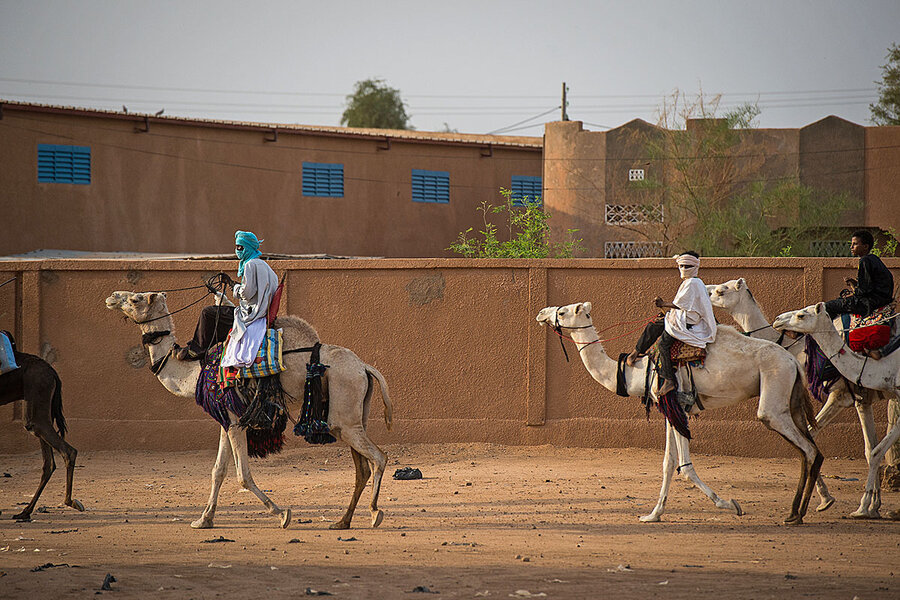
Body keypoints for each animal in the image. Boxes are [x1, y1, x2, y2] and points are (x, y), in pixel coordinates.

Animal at [0, 332, 83, 520]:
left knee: (66, 450)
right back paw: (26, 511)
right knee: (49, 462)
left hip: (37, 392)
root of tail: (53, 372)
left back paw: (69, 501)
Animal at [103, 290, 392, 528]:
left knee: (379, 457)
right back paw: (342, 521)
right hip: (351, 414)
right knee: (362, 467)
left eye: (135, 299)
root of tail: (365, 367)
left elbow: (242, 475)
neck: (193, 373)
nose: (112, 297)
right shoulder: (227, 419)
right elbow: (218, 471)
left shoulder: (235, 420)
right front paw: (203, 519)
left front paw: (281, 514)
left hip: (344, 410)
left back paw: (374, 513)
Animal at [536, 302, 824, 524]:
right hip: (791, 400)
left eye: (563, 311)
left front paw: (729, 504)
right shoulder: (669, 409)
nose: (541, 313)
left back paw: (797, 515)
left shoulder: (677, 406)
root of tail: (793, 361)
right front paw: (653, 514)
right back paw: (797, 512)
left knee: (805, 447)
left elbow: (684, 467)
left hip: (773, 395)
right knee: (810, 450)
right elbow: (668, 462)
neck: (637, 371)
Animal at [768, 302, 900, 516]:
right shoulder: (861, 399)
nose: (778, 319)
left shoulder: (842, 397)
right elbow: (870, 449)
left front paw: (863, 507)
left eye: (802, 315)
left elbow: (874, 451)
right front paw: (871, 505)